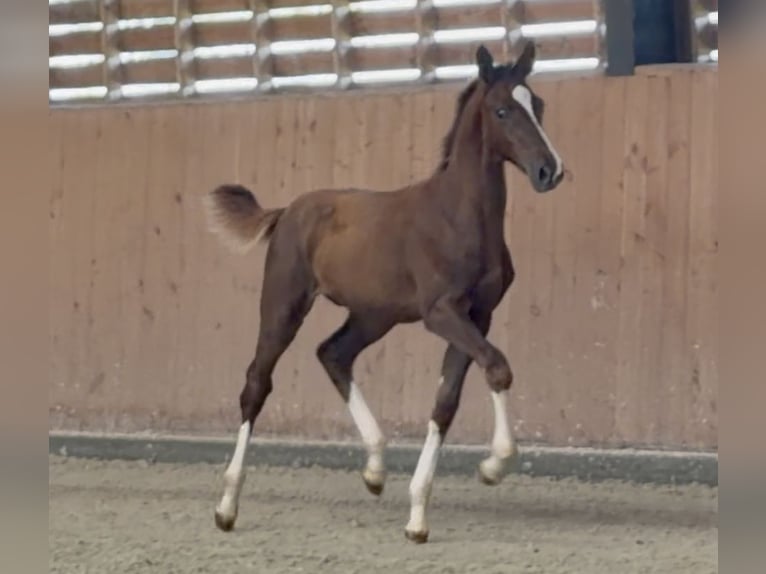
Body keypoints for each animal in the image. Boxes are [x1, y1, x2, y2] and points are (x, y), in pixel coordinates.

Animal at [204, 41, 565, 544]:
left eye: (540, 106)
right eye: (502, 110)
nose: (550, 171)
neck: (457, 216)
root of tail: (288, 209)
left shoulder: (478, 315)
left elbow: (447, 401)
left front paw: (418, 515)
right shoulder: (442, 313)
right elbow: (497, 367)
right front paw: (493, 466)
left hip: (374, 314)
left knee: (333, 353)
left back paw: (374, 469)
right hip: (283, 305)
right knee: (257, 382)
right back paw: (227, 506)